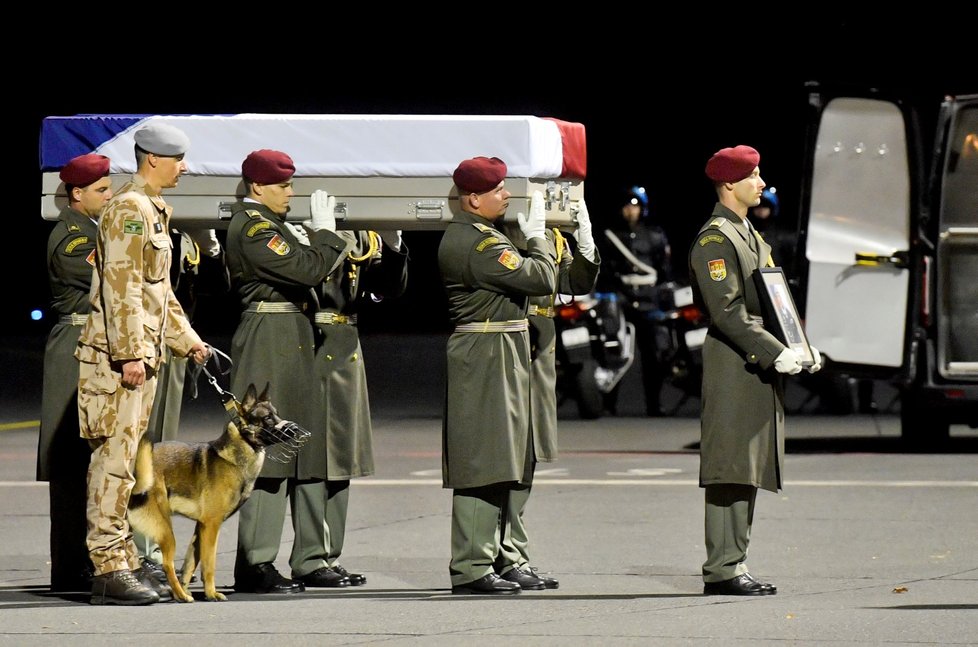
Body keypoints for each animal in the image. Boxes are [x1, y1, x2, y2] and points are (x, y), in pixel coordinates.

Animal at [127, 384, 276, 604]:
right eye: (267, 418)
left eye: (277, 414)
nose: (292, 429)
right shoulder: (211, 526)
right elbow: (209, 564)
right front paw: (211, 593)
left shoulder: (200, 528)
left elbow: (190, 564)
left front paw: (192, 589)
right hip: (166, 530)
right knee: (168, 565)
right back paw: (180, 596)